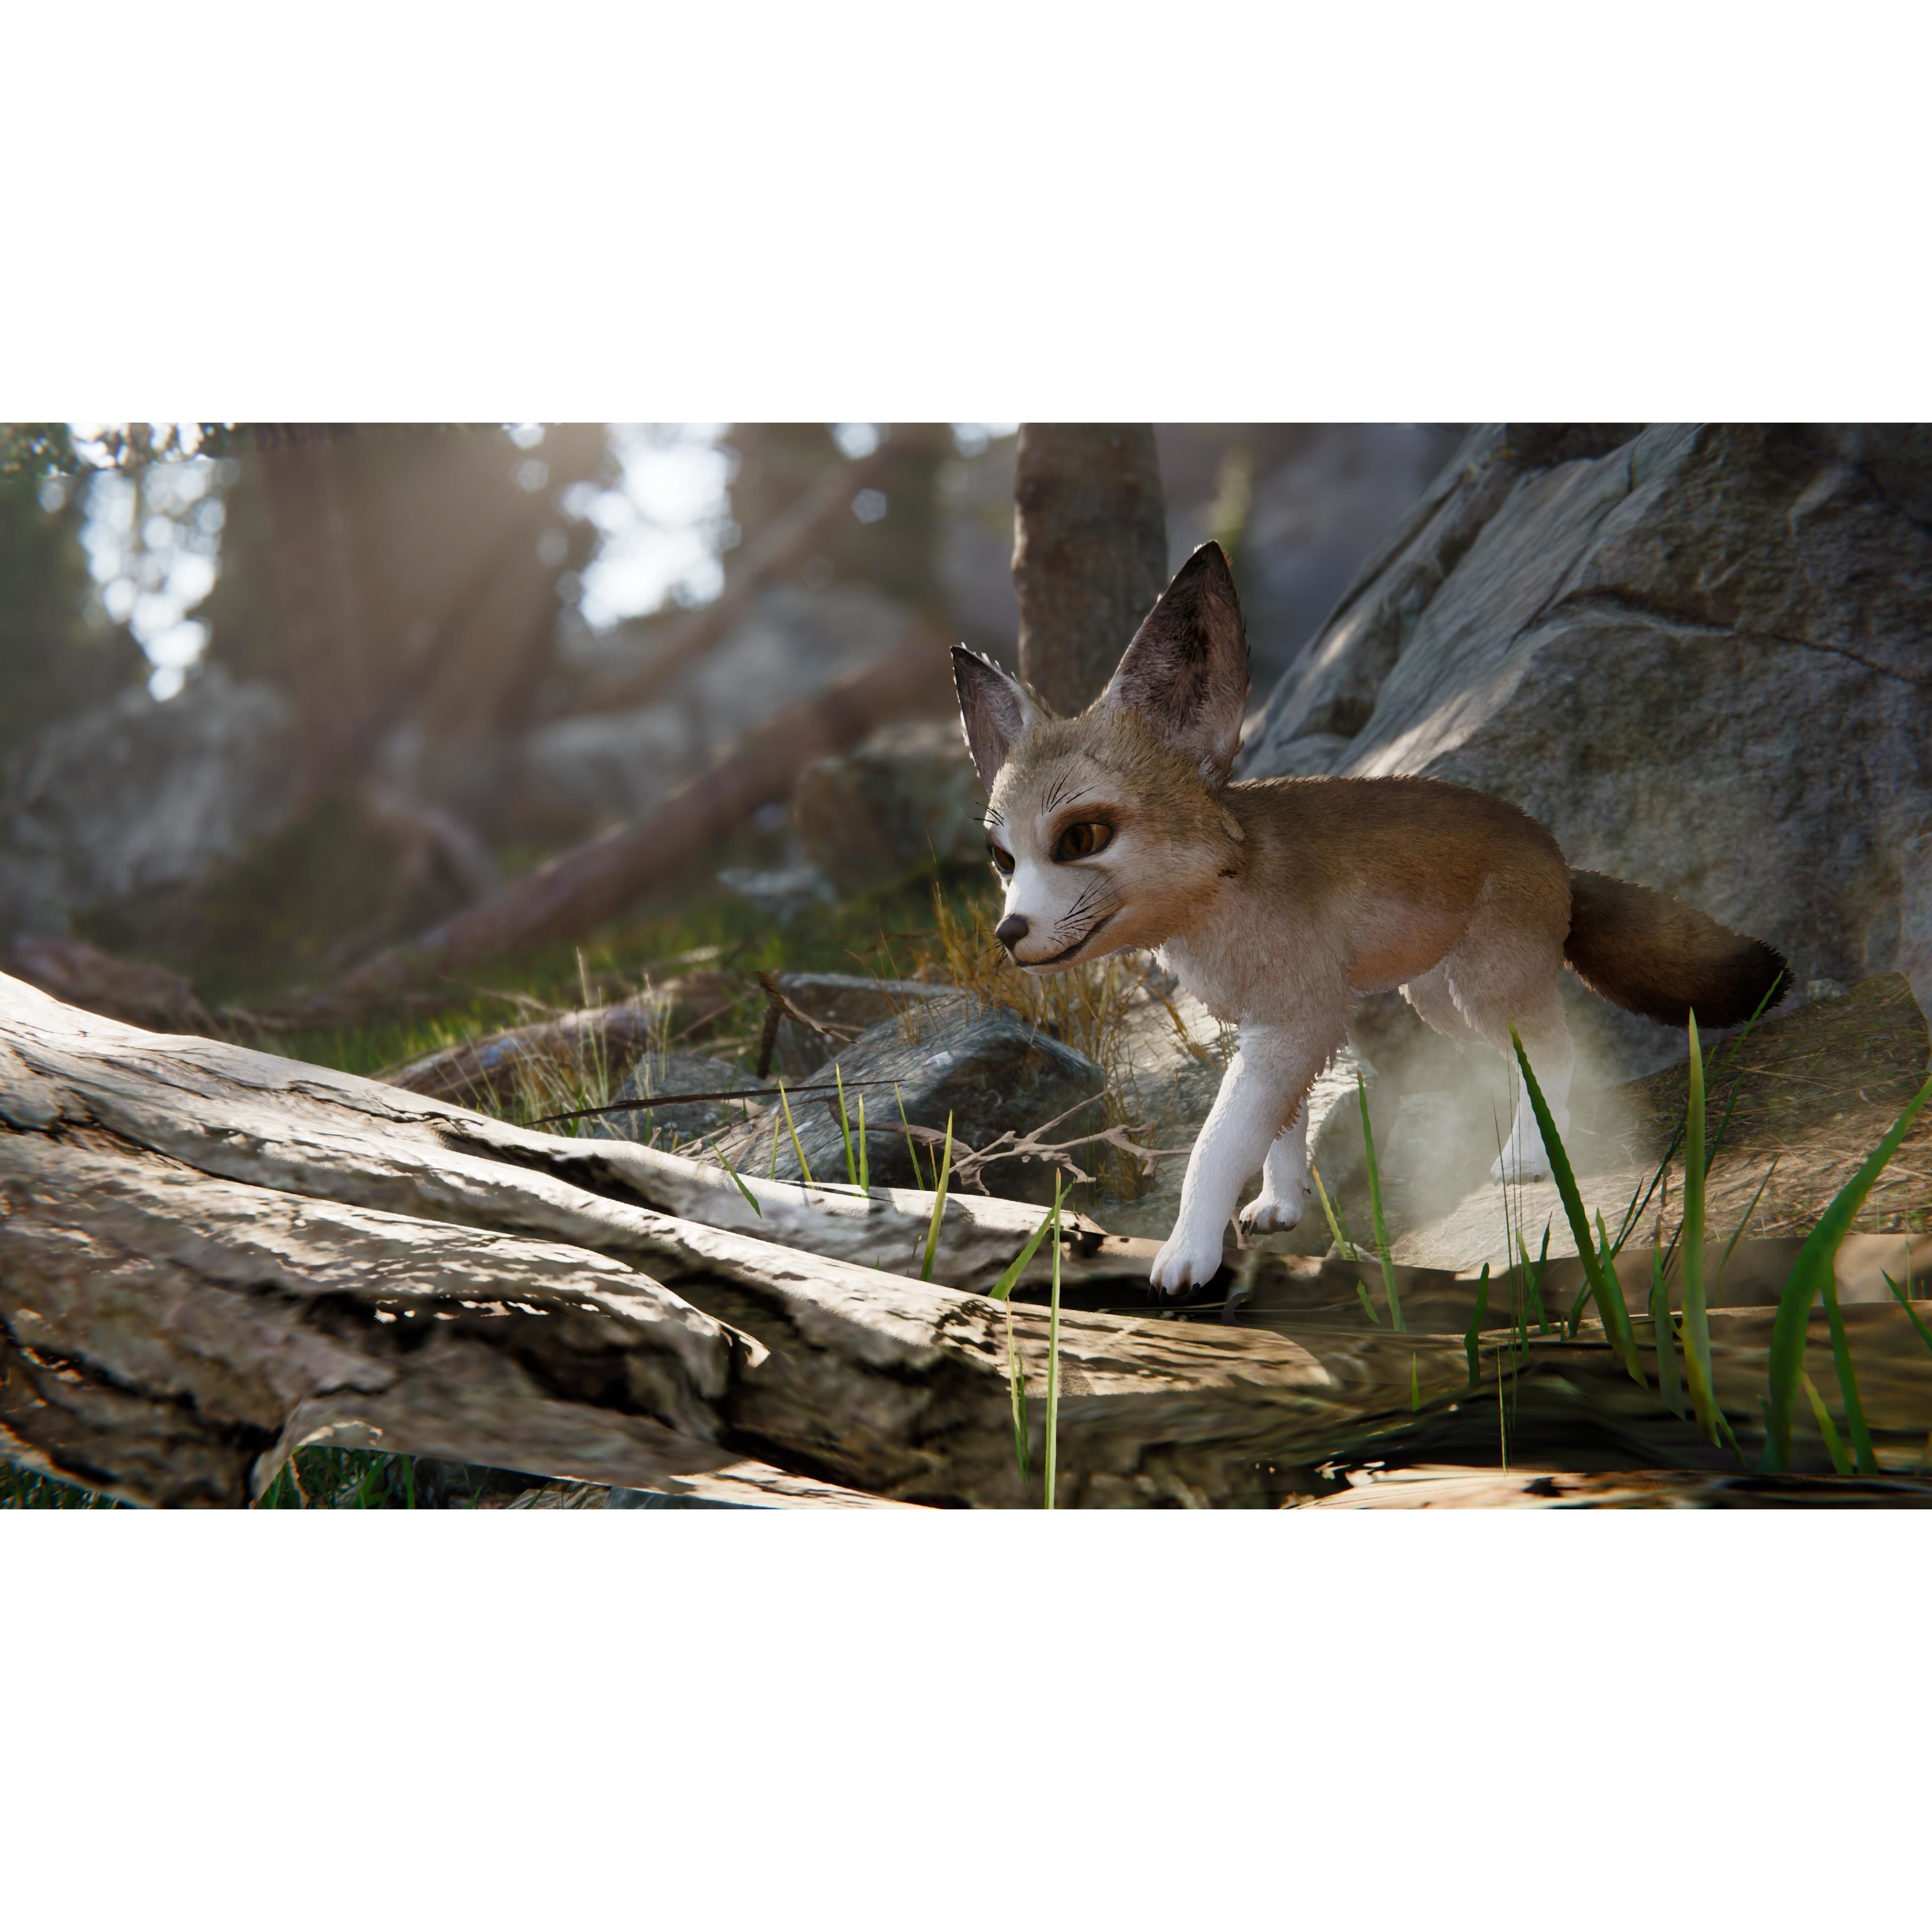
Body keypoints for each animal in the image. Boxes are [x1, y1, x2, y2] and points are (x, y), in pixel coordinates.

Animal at [952, 540, 1788, 1298]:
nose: (1008, 936)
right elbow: (1283, 1130)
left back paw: (1529, 1157)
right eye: (1002, 859)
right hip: (1441, 1002)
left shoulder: (1296, 1021)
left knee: (1556, 1053)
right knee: (1507, 1061)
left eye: (1081, 839)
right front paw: (1281, 1207)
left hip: (1487, 990)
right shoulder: (1273, 1025)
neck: (1227, 893)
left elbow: (1220, 1144)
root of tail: (1555, 849)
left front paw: (1189, 1252)